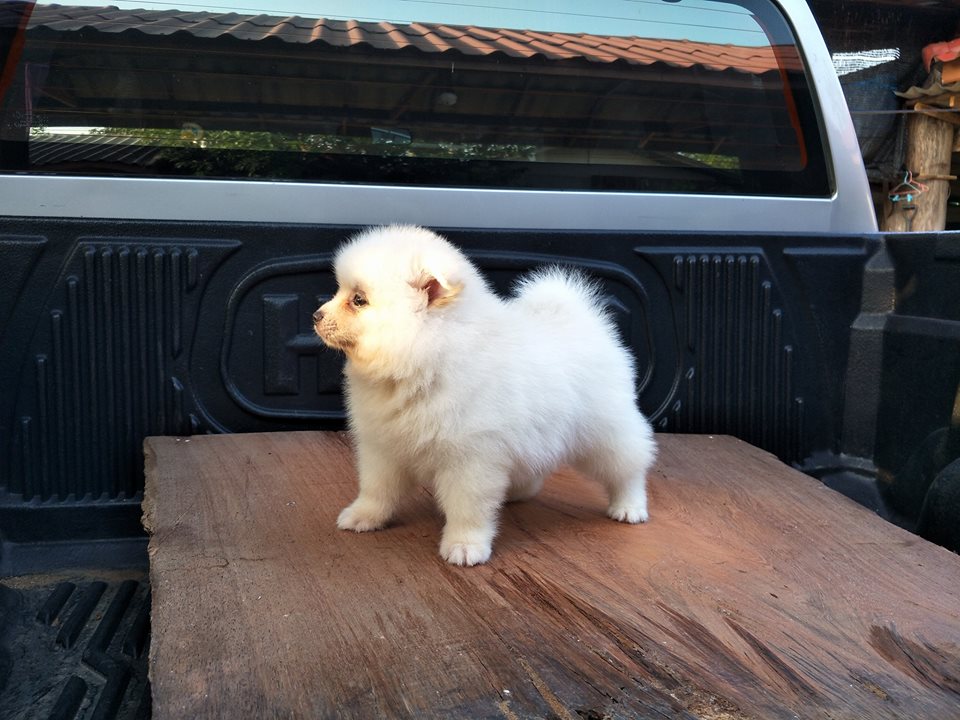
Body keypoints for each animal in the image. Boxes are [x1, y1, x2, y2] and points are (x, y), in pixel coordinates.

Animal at [313, 225, 656, 566]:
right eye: (341, 291)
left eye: (359, 300)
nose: (316, 315)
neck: (426, 360)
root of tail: (582, 320)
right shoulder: (382, 446)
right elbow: (376, 489)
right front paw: (364, 516)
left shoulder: (470, 458)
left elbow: (467, 508)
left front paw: (465, 546)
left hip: (604, 431)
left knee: (628, 466)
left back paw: (629, 506)